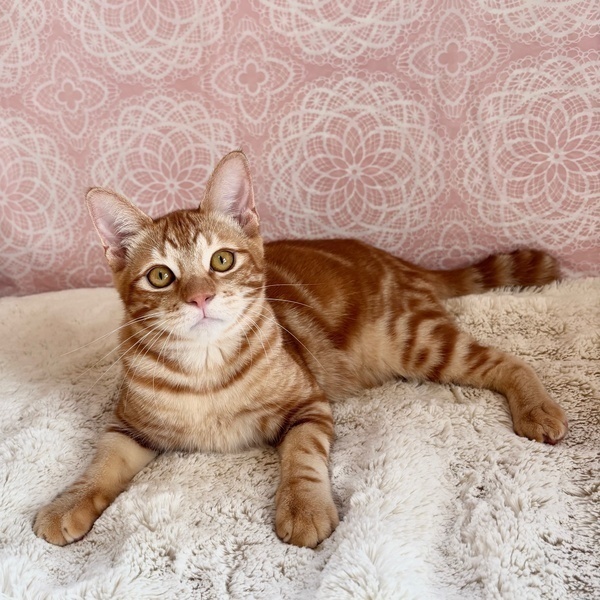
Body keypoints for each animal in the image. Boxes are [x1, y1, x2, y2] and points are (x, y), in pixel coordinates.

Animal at [34, 150, 568, 548]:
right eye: (161, 276)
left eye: (221, 261)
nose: (200, 297)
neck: (205, 373)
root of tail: (396, 259)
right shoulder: (127, 426)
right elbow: (100, 464)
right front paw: (66, 504)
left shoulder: (309, 404)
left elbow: (301, 455)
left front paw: (304, 506)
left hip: (418, 341)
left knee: (508, 360)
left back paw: (537, 408)